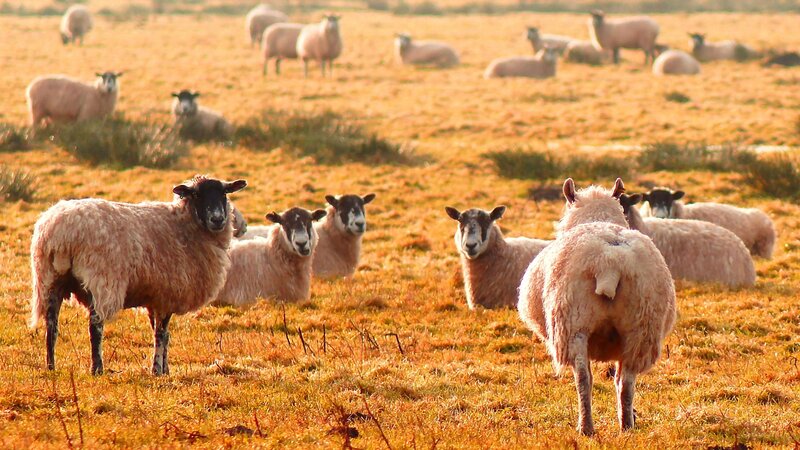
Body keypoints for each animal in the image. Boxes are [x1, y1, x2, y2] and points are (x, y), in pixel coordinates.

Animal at [30, 175, 247, 375]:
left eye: (224, 193)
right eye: (197, 194)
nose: (217, 219)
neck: (183, 224)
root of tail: (60, 231)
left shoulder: (154, 296)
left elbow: (161, 332)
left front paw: (165, 369)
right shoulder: (166, 293)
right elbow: (161, 333)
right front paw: (157, 370)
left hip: (49, 279)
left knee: (51, 326)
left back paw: (51, 366)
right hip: (102, 278)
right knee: (95, 326)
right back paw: (97, 368)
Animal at [517, 178, 676, 436]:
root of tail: (609, 262)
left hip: (573, 325)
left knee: (583, 379)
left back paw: (586, 427)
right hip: (641, 329)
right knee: (626, 382)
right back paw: (626, 425)